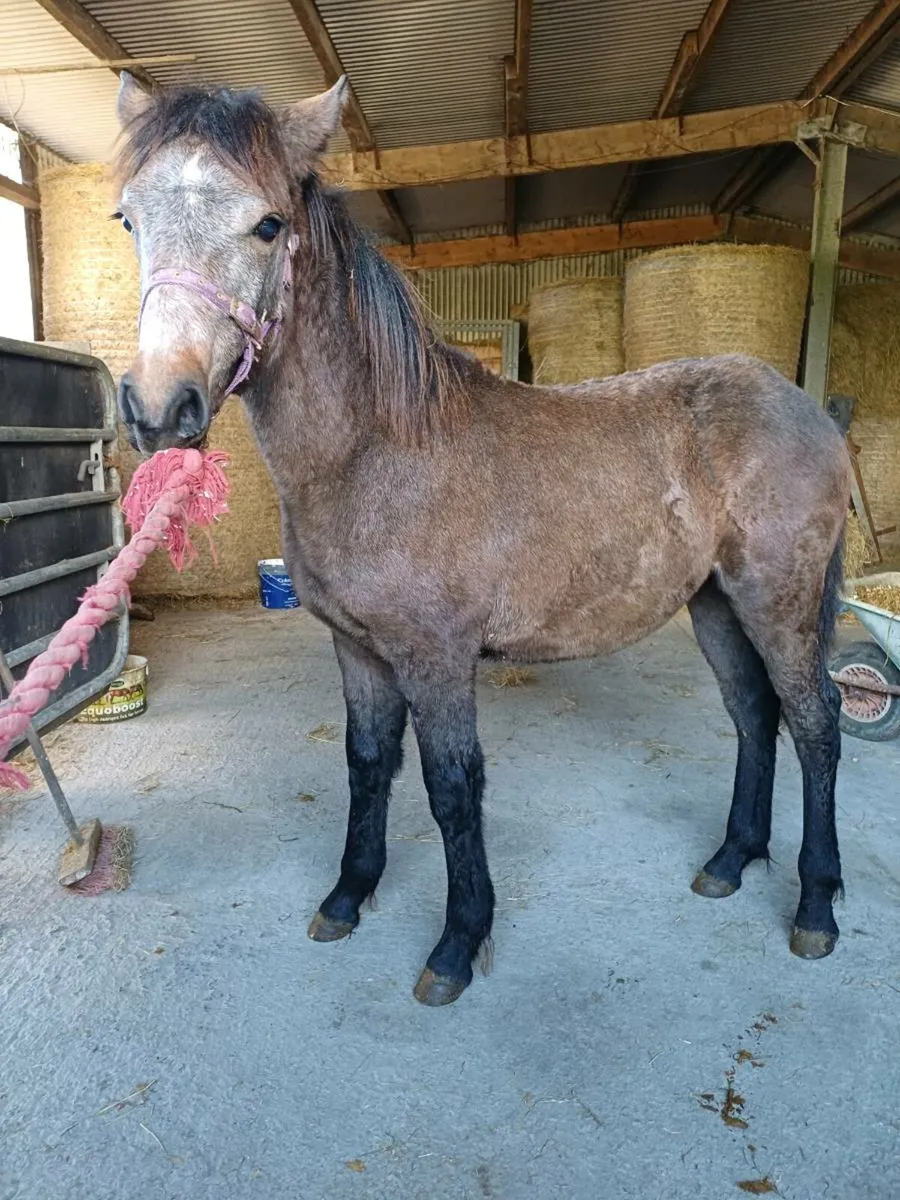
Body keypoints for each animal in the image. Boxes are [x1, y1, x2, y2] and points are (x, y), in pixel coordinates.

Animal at [112, 73, 852, 1006]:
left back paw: (815, 907)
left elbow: (452, 788)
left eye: (268, 225)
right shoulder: (358, 649)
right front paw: (348, 896)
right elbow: (366, 763)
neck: (378, 450)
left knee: (815, 723)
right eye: (128, 219)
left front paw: (458, 943)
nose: (158, 407)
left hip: (778, 601)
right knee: (755, 716)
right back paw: (729, 860)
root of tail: (809, 411)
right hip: (716, 603)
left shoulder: (437, 658)